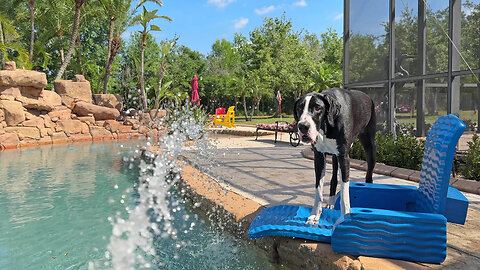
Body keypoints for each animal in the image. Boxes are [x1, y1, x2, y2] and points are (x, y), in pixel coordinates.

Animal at [292, 88, 376, 224]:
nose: (303, 126)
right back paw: (331, 201)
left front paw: (345, 217)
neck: (326, 125)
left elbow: (344, 194)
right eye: (299, 108)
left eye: (317, 107)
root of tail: (368, 97)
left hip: (370, 147)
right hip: (335, 157)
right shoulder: (319, 157)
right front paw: (315, 214)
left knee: (369, 174)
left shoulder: (344, 157)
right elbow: (318, 188)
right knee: (334, 179)